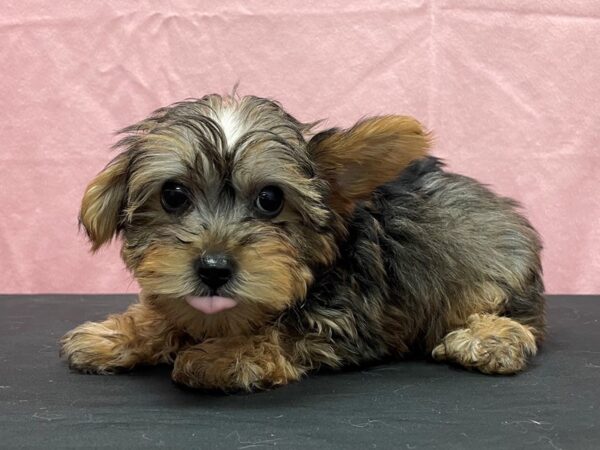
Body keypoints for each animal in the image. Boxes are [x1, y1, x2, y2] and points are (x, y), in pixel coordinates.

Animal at [59, 94, 544, 390]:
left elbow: (283, 331)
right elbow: (167, 313)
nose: (214, 268)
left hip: (493, 274)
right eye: (174, 195)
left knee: (513, 318)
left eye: (271, 199)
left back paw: (491, 339)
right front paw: (117, 334)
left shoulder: (343, 317)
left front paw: (219, 356)